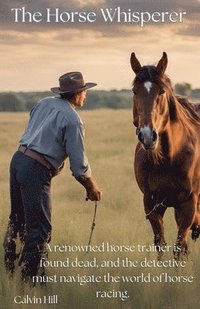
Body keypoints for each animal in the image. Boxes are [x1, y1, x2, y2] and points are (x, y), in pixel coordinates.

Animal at [130, 51, 200, 256]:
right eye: (134, 91)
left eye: (161, 92)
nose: (147, 136)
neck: (169, 158)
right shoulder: (152, 203)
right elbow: (161, 244)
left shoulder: (188, 204)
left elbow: (179, 247)